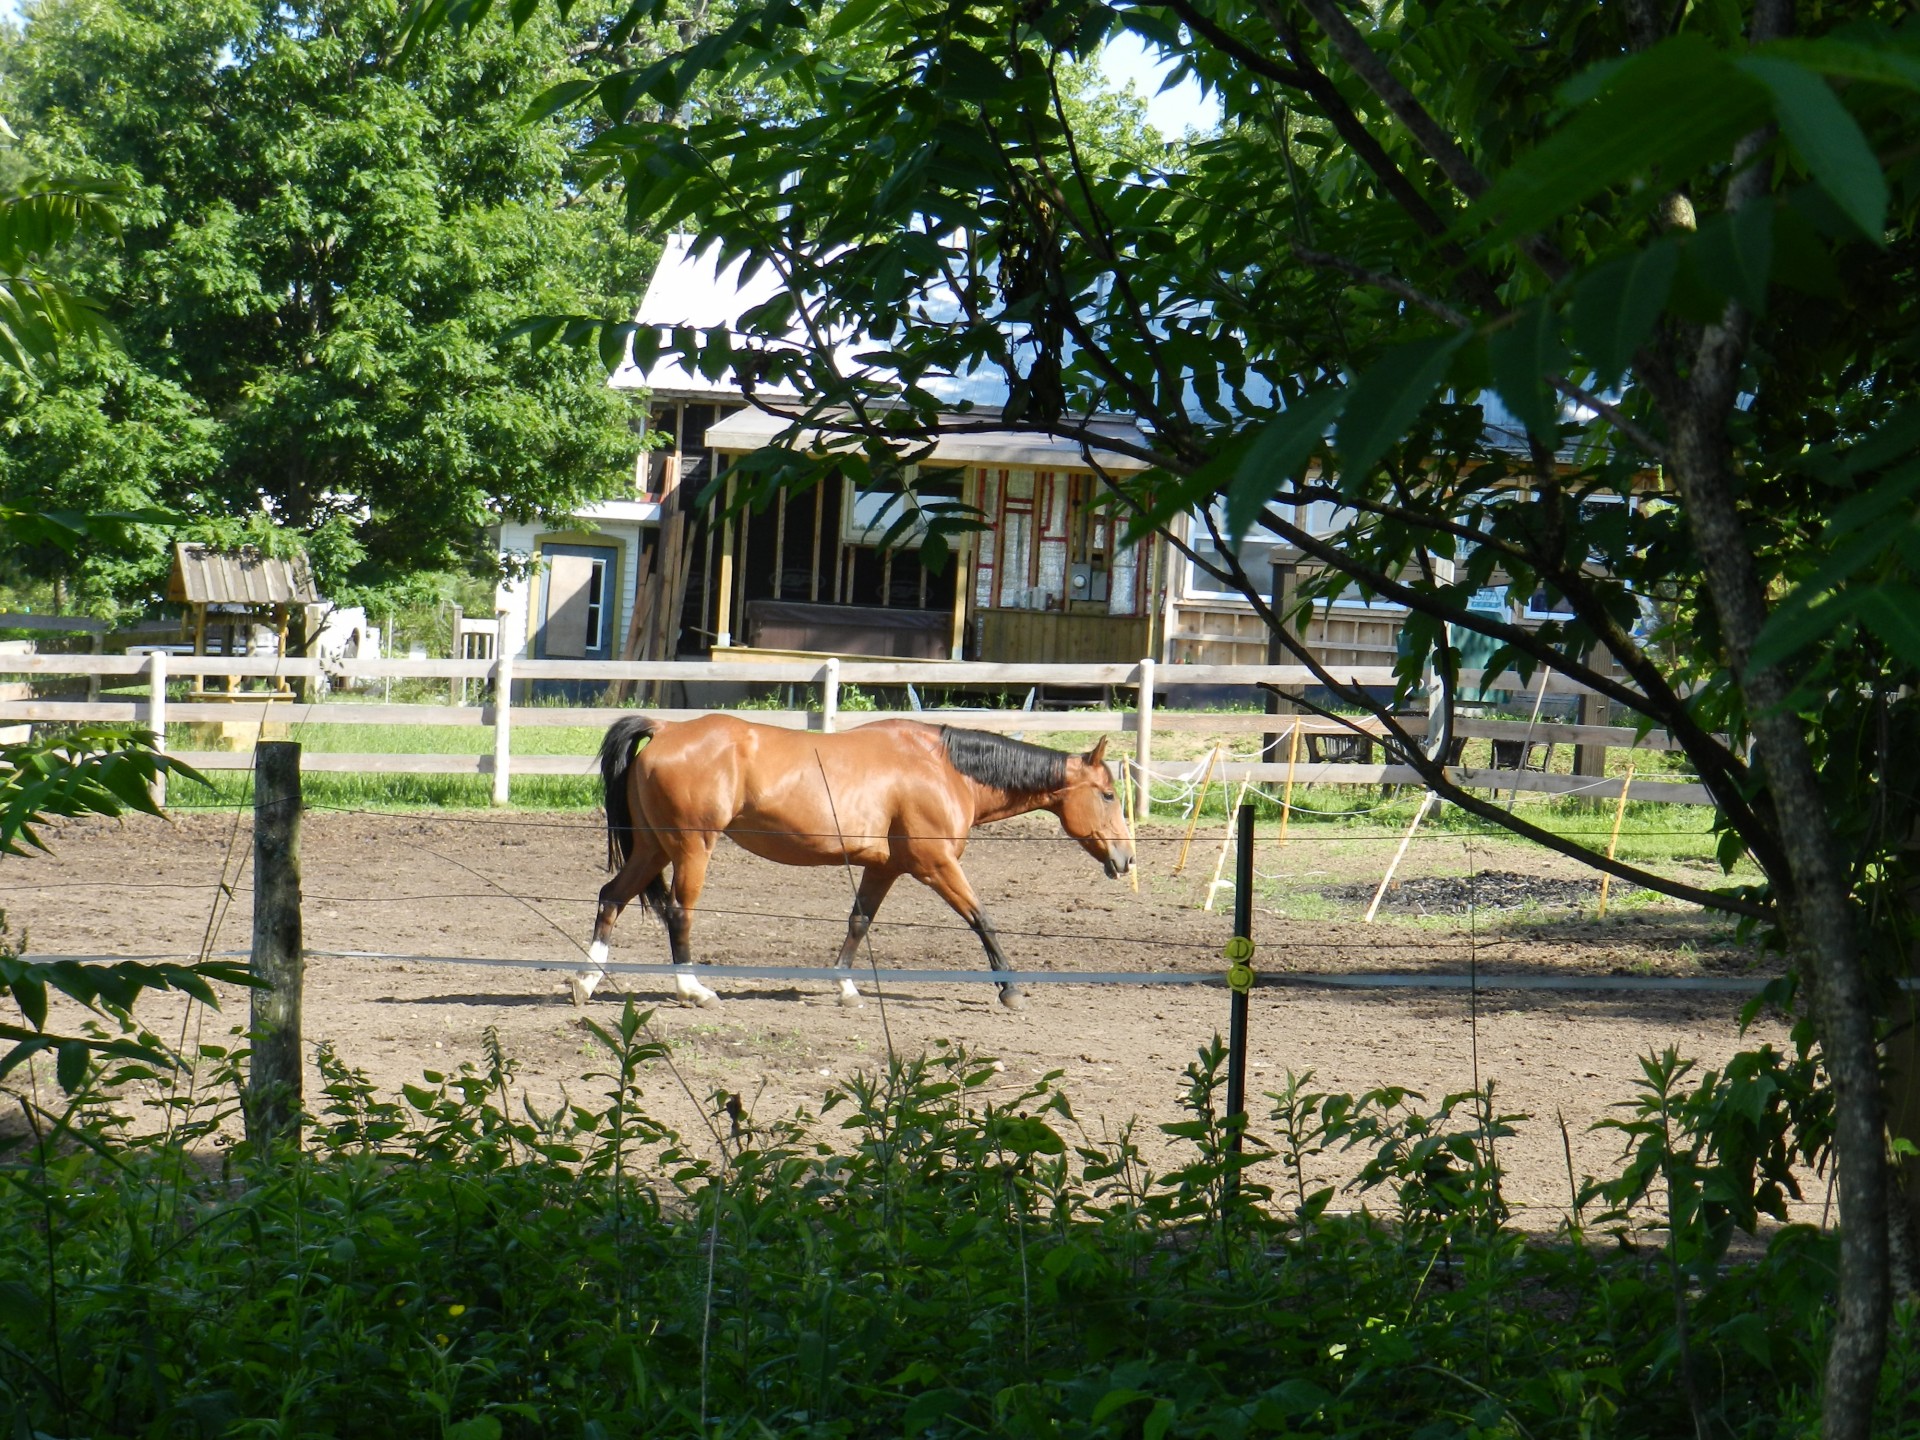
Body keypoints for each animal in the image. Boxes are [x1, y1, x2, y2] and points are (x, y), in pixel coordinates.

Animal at [576, 718, 1128, 1006]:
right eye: (1107, 794)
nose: (1125, 858)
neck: (944, 769)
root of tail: (666, 726)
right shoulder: (935, 865)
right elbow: (981, 918)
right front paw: (1010, 989)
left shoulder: (884, 867)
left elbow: (859, 921)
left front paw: (844, 985)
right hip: (691, 848)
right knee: (678, 912)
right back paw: (693, 989)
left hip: (652, 848)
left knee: (611, 898)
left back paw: (585, 981)